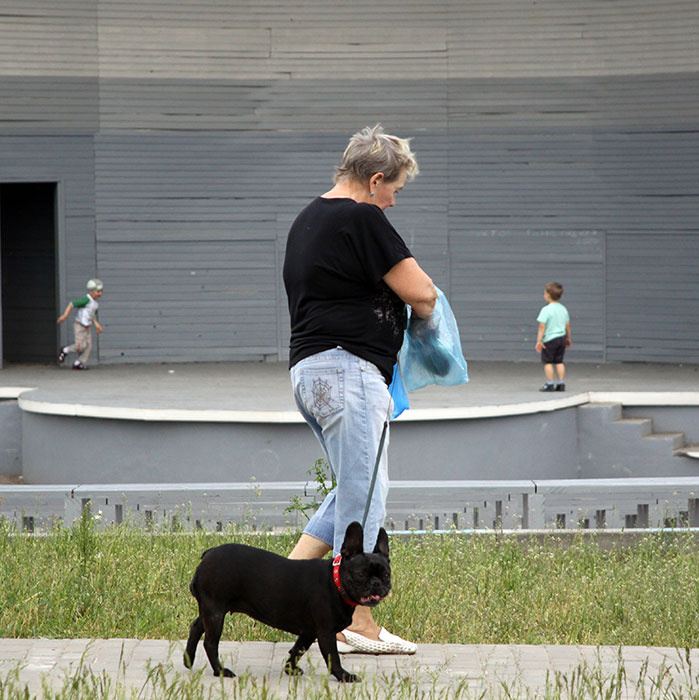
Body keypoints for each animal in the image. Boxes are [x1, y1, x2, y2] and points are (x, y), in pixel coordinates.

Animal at [183, 521, 391, 682]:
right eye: (361, 574)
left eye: (386, 575)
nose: (376, 583)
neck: (336, 583)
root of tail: (208, 554)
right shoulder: (326, 633)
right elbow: (332, 657)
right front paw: (343, 676)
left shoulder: (309, 632)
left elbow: (298, 649)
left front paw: (290, 669)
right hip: (215, 611)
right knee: (210, 642)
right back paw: (220, 671)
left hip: (212, 609)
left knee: (196, 627)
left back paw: (188, 659)